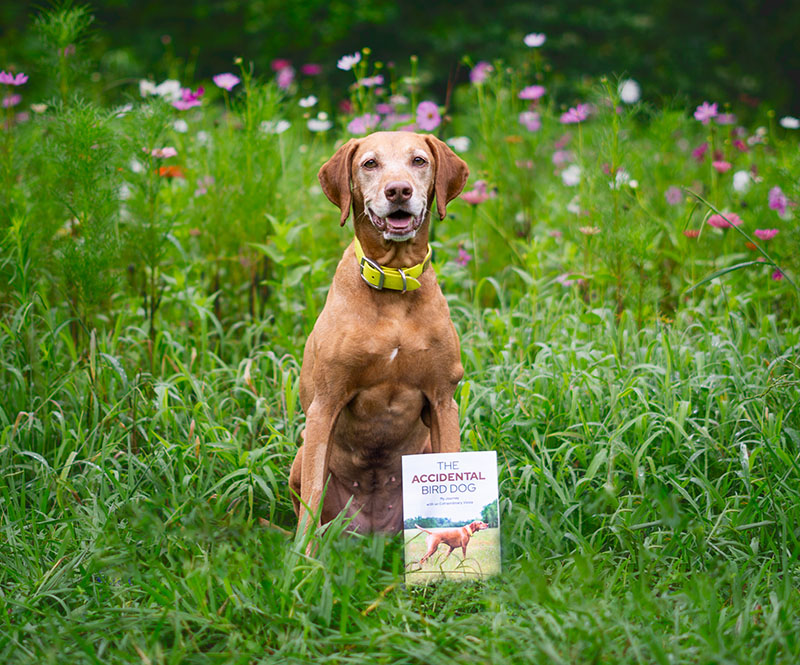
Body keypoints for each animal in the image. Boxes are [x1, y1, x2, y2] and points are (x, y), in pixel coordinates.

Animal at [290, 132, 468, 532]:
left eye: (419, 160)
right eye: (369, 163)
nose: (398, 190)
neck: (393, 282)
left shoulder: (443, 401)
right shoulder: (324, 405)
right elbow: (310, 502)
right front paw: (302, 552)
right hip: (300, 457)